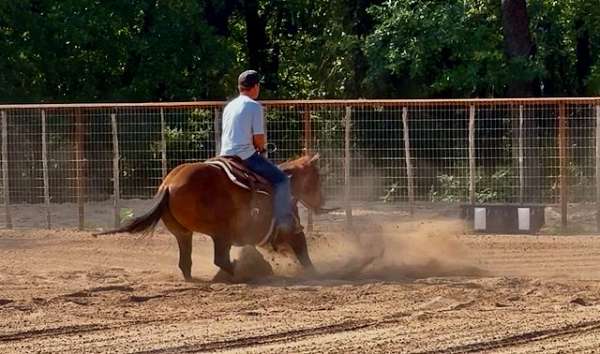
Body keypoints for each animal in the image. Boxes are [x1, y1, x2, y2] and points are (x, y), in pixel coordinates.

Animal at [96, 153, 326, 280]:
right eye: (317, 178)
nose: (321, 203)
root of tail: (169, 185)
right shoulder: (292, 231)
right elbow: (304, 254)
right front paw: (316, 273)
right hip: (220, 233)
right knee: (220, 259)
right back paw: (248, 272)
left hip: (182, 233)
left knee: (186, 262)